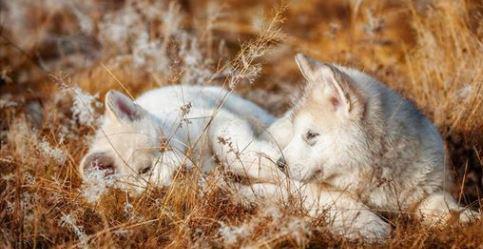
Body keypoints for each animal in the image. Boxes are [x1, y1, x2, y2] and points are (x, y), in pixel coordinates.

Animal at [79, 85, 284, 193]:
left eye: (164, 144)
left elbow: (233, 154)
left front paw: (276, 170)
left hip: (245, 109)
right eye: (145, 170)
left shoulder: (215, 118)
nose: (183, 170)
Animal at [242, 54, 480, 241]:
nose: (279, 165)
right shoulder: (313, 188)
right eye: (298, 132)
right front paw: (373, 227)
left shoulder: (426, 190)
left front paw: (466, 218)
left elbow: (441, 205)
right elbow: (345, 203)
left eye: (311, 135)